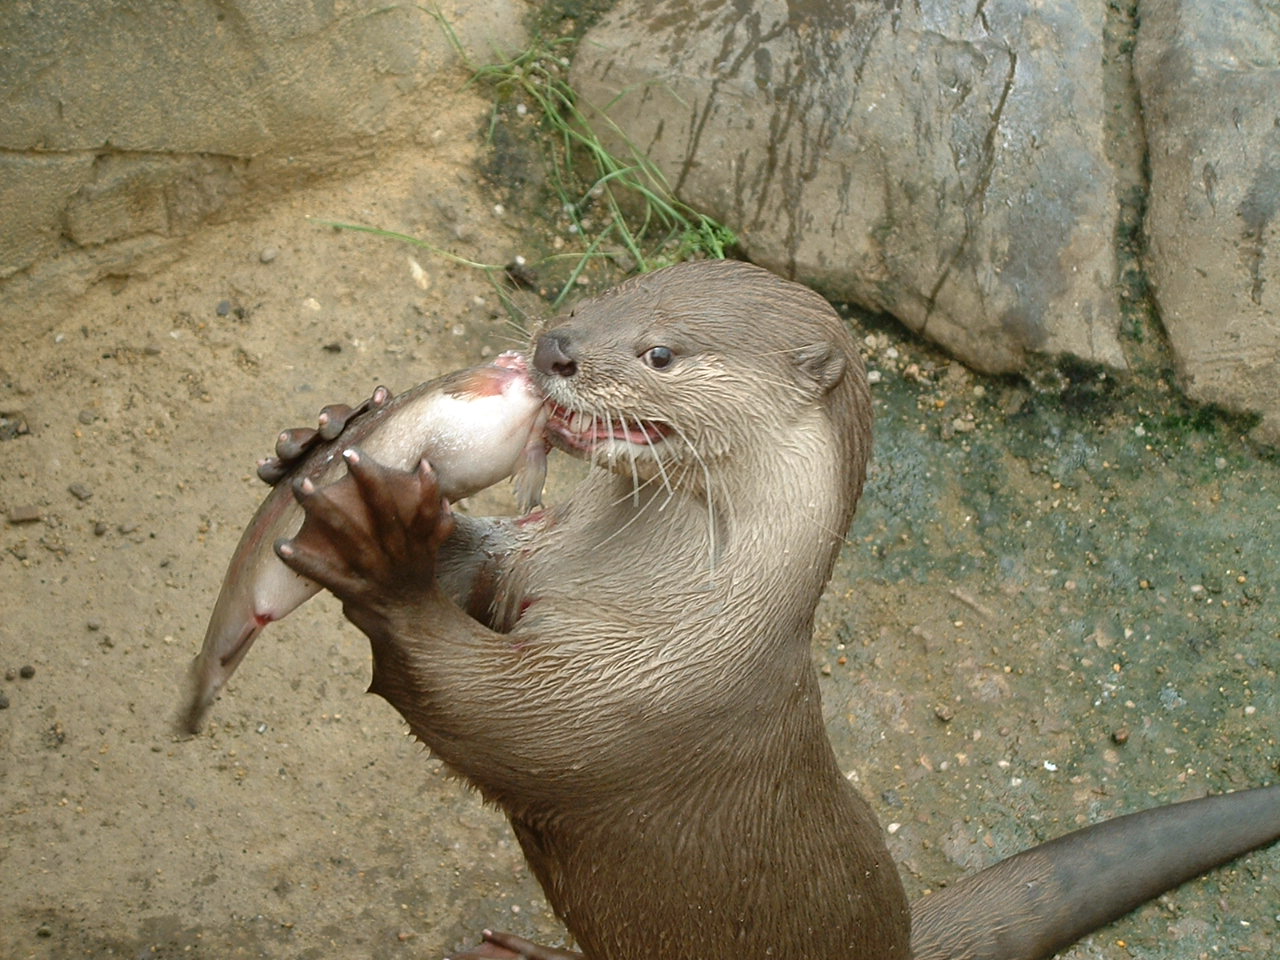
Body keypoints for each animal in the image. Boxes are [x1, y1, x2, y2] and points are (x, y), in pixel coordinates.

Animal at [273, 260, 1280, 960]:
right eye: (602, 297)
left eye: (661, 353)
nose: (555, 348)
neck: (678, 601)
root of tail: (899, 938)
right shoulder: (534, 560)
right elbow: (478, 575)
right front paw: (322, 440)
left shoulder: (631, 698)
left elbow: (487, 716)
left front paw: (380, 551)